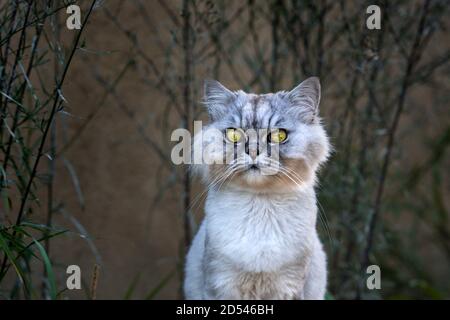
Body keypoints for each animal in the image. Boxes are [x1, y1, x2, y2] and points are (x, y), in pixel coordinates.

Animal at [183, 77, 330, 300]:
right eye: (234, 135)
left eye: (279, 136)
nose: (253, 152)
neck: (260, 204)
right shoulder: (220, 283)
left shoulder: (289, 286)